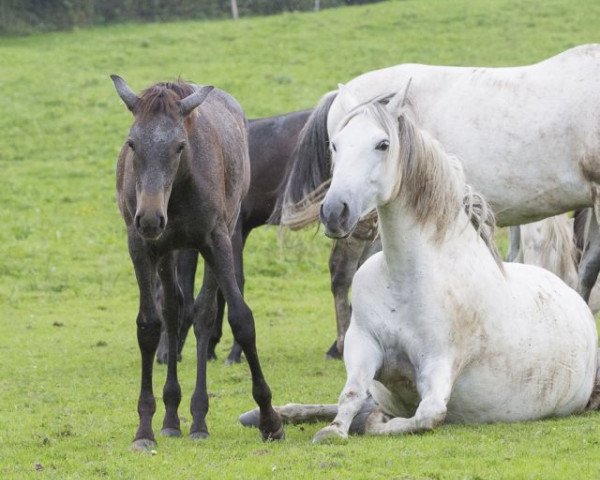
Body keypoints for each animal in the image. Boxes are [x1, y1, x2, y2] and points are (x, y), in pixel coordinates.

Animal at [112, 75, 284, 450]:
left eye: (179, 146)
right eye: (132, 143)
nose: (150, 218)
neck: (177, 191)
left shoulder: (217, 240)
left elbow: (241, 319)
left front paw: (269, 419)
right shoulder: (141, 246)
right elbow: (149, 325)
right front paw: (145, 427)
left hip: (214, 241)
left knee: (204, 313)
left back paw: (199, 418)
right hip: (169, 251)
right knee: (174, 311)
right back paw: (172, 417)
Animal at [240, 88, 600, 440]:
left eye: (383, 144)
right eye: (335, 144)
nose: (334, 212)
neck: (407, 278)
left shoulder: (439, 365)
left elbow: (426, 415)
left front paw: (368, 424)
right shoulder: (363, 343)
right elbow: (350, 395)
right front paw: (334, 429)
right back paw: (265, 415)